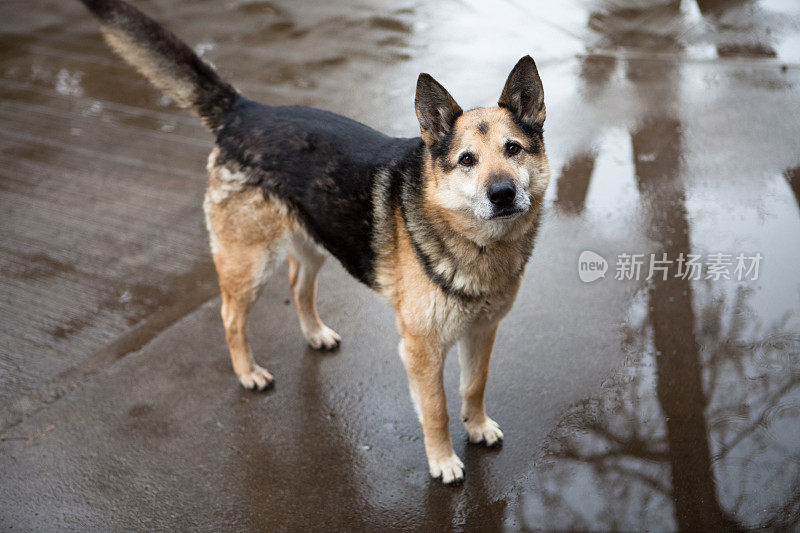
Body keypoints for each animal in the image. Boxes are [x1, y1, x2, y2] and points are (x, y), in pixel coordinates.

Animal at [78, 0, 548, 482]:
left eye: (513, 149)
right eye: (466, 160)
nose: (503, 193)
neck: (476, 241)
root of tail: (245, 110)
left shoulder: (482, 331)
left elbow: (474, 385)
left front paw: (478, 426)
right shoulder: (422, 349)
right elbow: (436, 410)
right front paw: (442, 461)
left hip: (314, 243)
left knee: (298, 287)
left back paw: (315, 334)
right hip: (250, 262)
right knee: (230, 316)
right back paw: (248, 372)